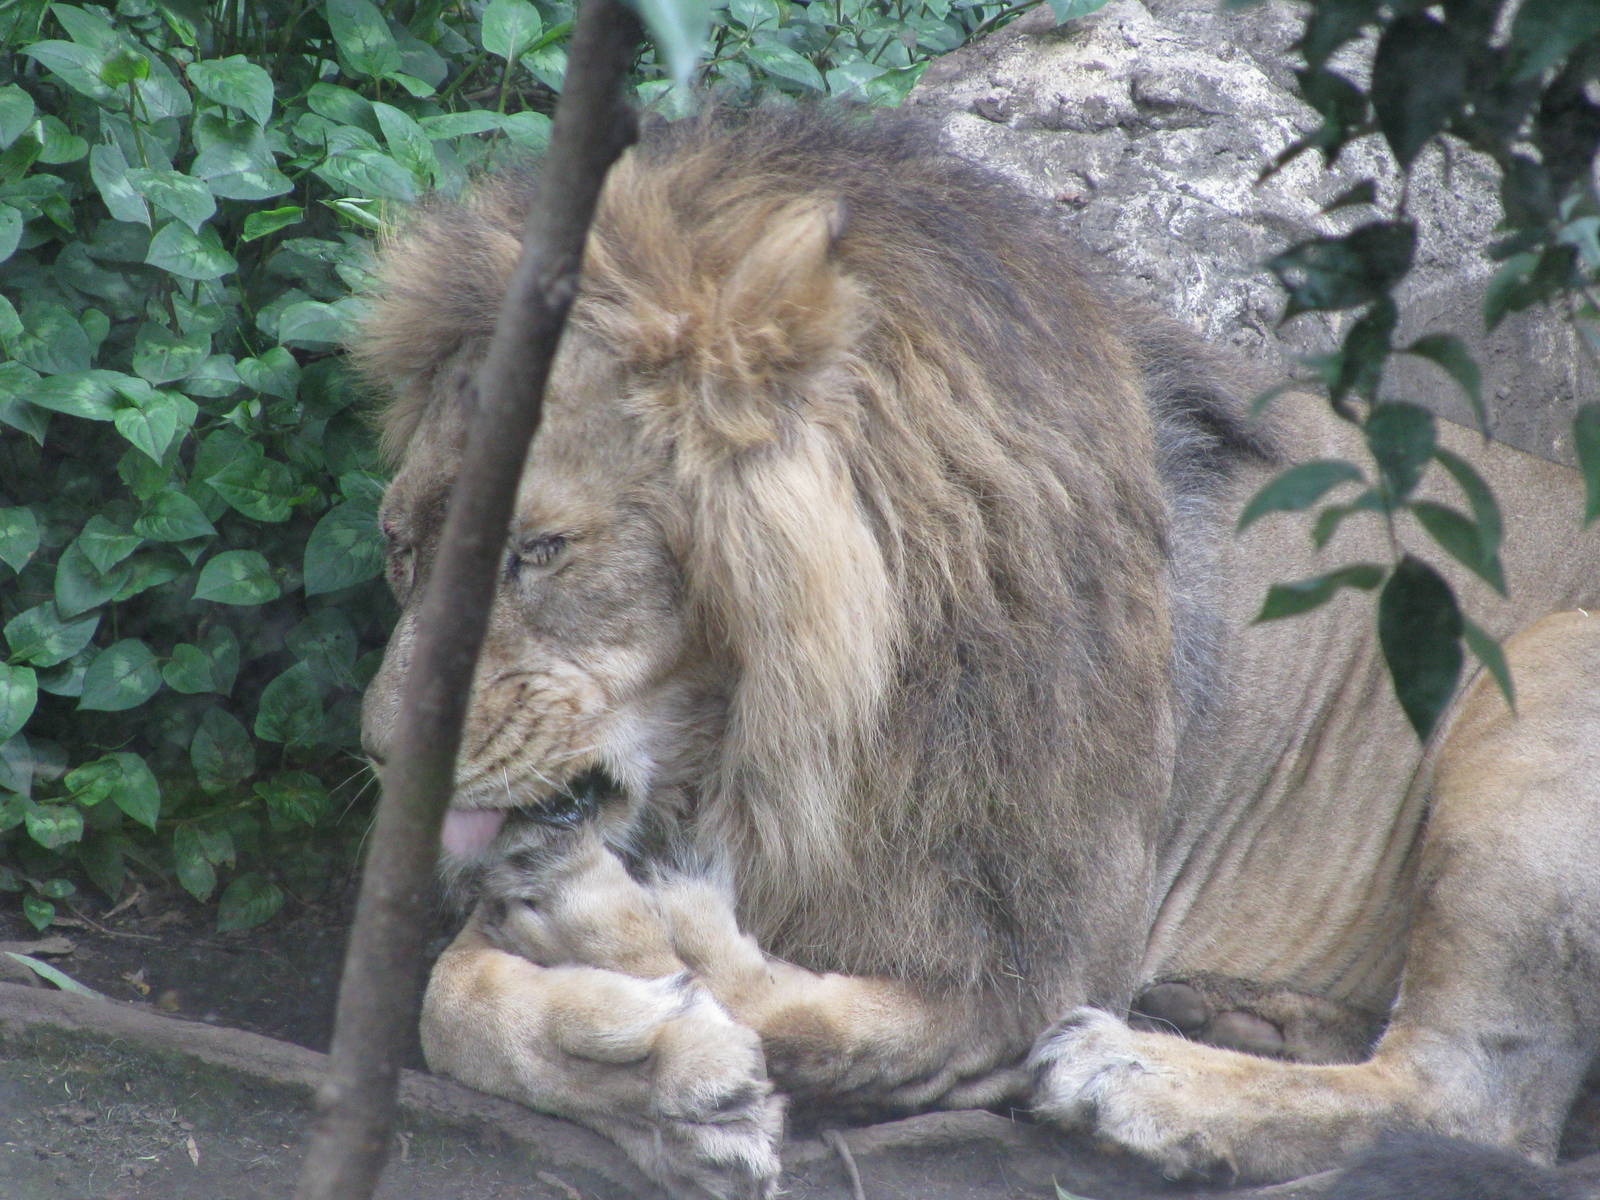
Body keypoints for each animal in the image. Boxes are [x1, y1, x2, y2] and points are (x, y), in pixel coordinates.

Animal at [352, 108, 1600, 1198]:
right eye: (401, 547)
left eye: (537, 551)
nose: (382, 752)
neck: (773, 738)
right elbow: (442, 1007)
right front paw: (660, 1085)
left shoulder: (1036, 958)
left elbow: (842, 1017)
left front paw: (650, 1001)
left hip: (1550, 678)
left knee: (1473, 1099)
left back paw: (1129, 1074)